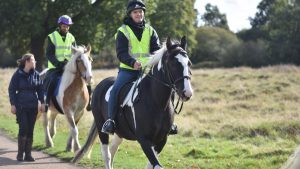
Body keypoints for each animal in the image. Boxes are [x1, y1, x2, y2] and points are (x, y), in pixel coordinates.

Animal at [72, 36, 192, 168]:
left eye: (188, 63)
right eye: (173, 63)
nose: (187, 93)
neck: (157, 102)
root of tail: (100, 85)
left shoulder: (161, 141)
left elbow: (151, 165)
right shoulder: (144, 140)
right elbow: (156, 165)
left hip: (120, 132)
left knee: (112, 150)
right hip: (101, 127)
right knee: (106, 155)